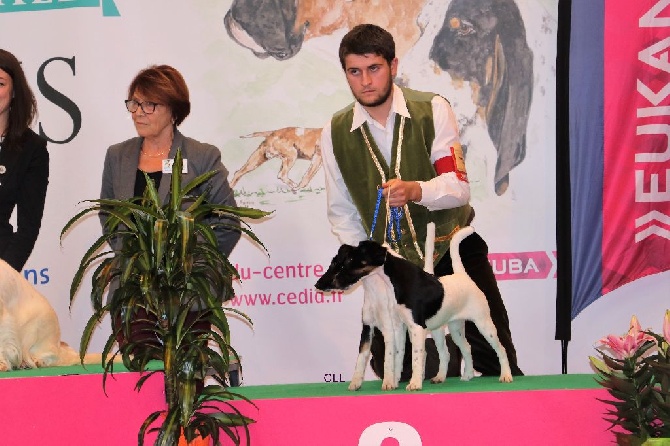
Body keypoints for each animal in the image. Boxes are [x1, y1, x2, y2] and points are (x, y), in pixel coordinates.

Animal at [316, 226, 516, 390]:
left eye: (350, 260)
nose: (319, 285)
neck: (399, 280)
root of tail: (463, 276)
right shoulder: (399, 327)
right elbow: (398, 355)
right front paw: (395, 381)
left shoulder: (416, 328)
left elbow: (417, 357)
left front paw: (414, 384)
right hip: (453, 328)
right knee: (463, 348)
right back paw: (461, 376)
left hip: (484, 324)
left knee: (501, 349)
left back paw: (506, 375)